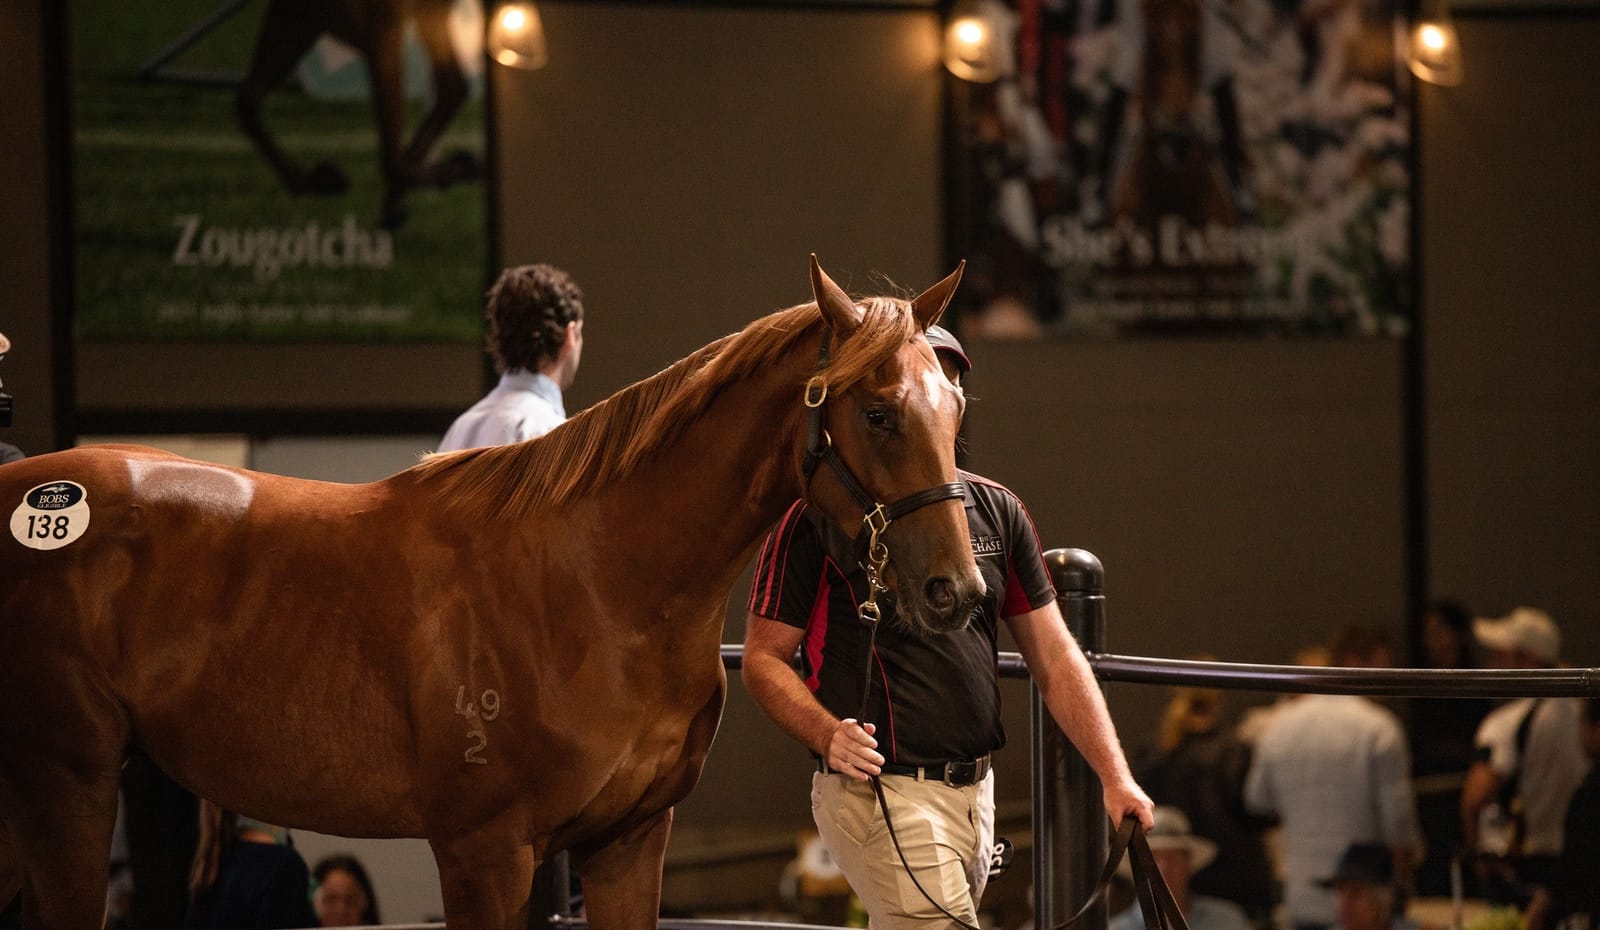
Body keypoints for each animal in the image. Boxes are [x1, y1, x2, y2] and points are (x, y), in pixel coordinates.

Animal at [0, 256, 972, 928]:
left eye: (955, 411)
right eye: (878, 413)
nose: (954, 591)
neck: (598, 588)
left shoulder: (628, 842)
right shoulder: (486, 855)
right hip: (69, 785)